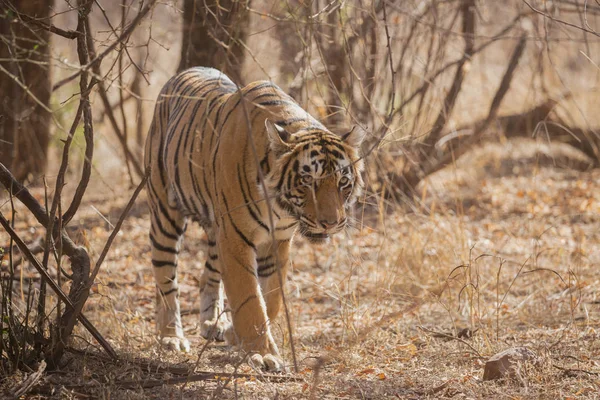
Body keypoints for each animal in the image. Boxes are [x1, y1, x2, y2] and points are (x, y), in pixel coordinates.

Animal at [144, 66, 366, 372]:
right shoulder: (235, 238)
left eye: (342, 182)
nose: (330, 223)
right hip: (166, 211)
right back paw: (171, 336)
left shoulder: (276, 241)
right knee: (165, 276)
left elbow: (271, 298)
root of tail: (184, 72)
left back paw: (212, 323)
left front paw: (238, 336)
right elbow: (249, 297)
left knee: (207, 275)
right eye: (307, 180)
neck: (280, 208)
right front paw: (262, 355)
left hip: (216, 229)